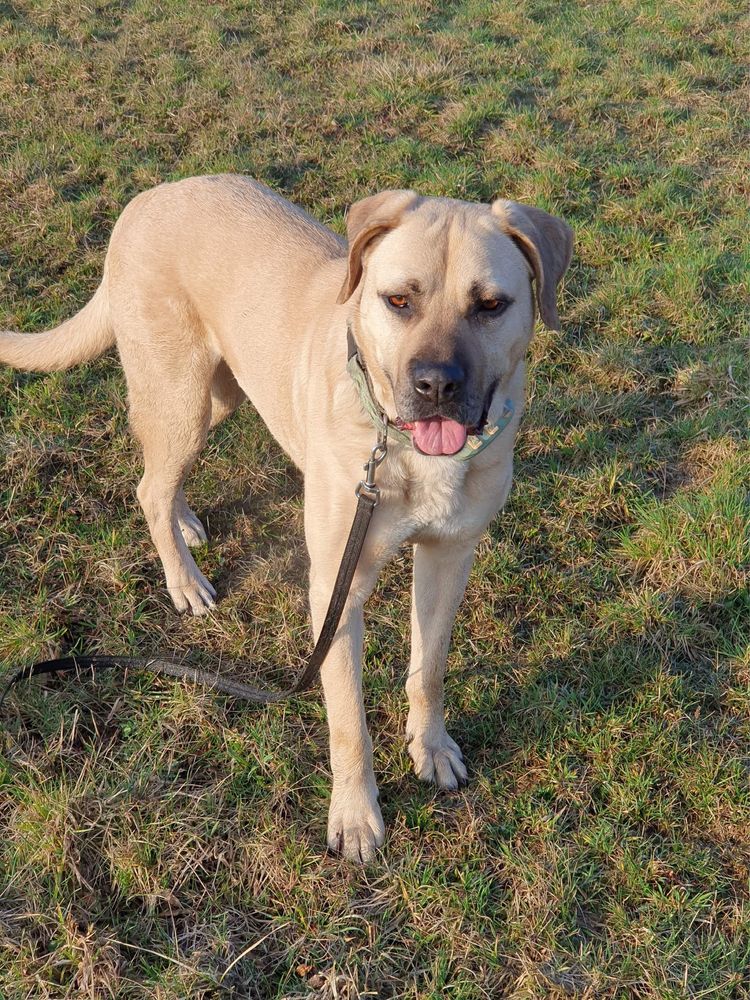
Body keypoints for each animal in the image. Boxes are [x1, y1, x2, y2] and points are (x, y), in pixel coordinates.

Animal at [1, 174, 576, 860]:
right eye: (398, 300)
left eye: (490, 305)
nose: (435, 386)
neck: (401, 446)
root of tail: (148, 197)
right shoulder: (336, 587)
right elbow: (348, 718)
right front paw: (355, 815)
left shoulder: (449, 558)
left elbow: (429, 670)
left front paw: (430, 747)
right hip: (180, 396)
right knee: (148, 485)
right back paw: (183, 579)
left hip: (218, 395)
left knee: (163, 480)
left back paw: (185, 524)